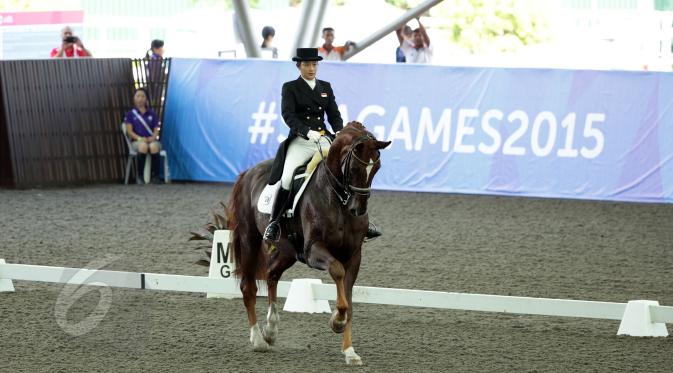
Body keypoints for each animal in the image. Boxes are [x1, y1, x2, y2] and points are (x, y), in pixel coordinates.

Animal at [228, 121, 392, 364]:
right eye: (354, 169)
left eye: (377, 167)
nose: (358, 210)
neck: (338, 199)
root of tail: (248, 172)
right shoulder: (314, 251)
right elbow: (337, 272)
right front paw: (336, 321)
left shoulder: (354, 255)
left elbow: (349, 300)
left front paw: (350, 352)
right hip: (250, 239)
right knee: (248, 287)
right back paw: (258, 339)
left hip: (287, 251)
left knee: (271, 274)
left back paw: (271, 330)